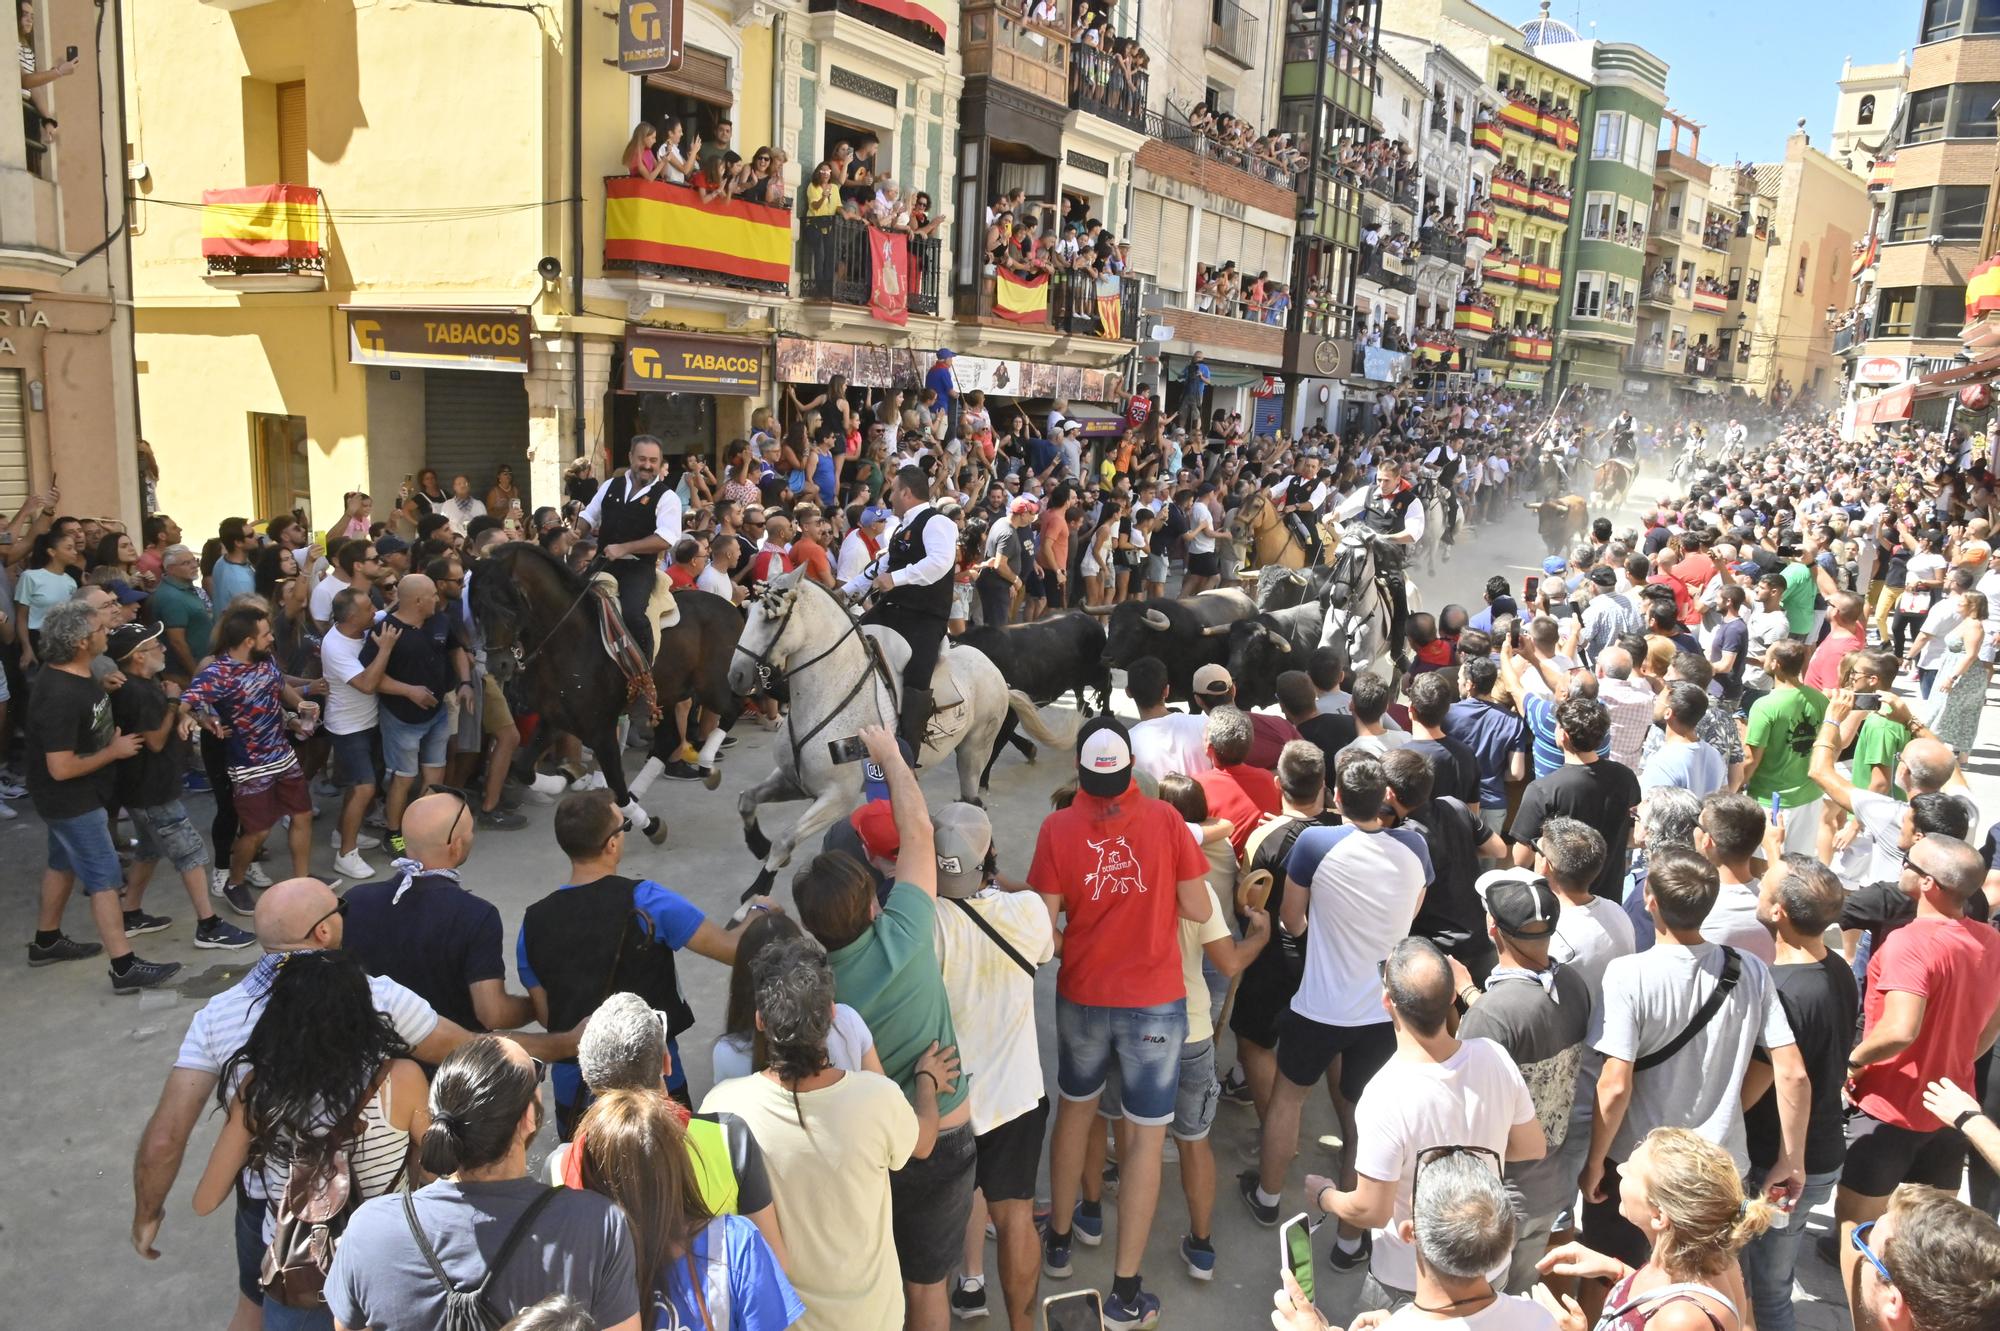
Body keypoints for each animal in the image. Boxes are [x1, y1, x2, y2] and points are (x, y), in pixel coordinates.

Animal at [732, 567, 1080, 891]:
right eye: (748, 611)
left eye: (770, 617)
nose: (736, 676)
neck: (830, 690)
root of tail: (996, 672)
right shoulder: (795, 781)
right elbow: (747, 799)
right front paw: (757, 844)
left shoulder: (836, 797)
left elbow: (785, 839)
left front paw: (754, 892)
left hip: (974, 750)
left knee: (972, 800)